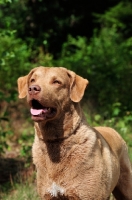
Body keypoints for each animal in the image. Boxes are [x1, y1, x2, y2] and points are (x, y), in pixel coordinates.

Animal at [17, 66, 132, 199]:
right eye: (32, 80)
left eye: (57, 82)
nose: (32, 89)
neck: (55, 140)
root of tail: (112, 129)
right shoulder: (48, 195)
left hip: (126, 185)